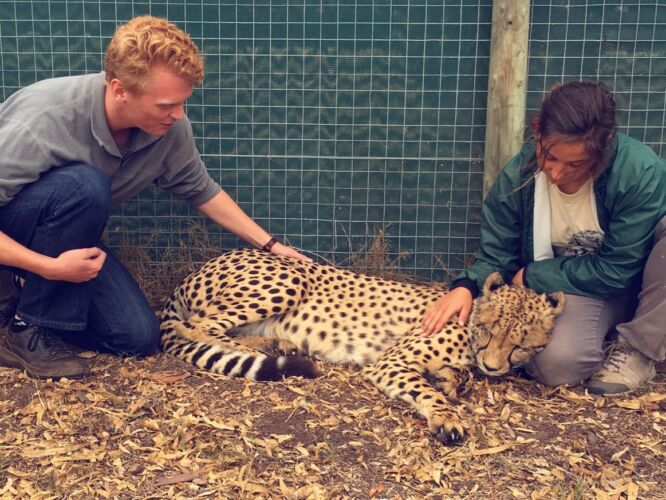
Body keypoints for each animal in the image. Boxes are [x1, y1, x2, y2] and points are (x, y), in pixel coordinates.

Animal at [160, 248, 565, 445]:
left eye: (521, 344)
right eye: (490, 330)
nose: (494, 367)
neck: (467, 325)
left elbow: (459, 375)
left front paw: (452, 379)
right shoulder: (388, 362)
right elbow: (426, 391)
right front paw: (446, 415)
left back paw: (278, 343)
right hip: (287, 279)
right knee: (195, 326)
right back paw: (259, 352)